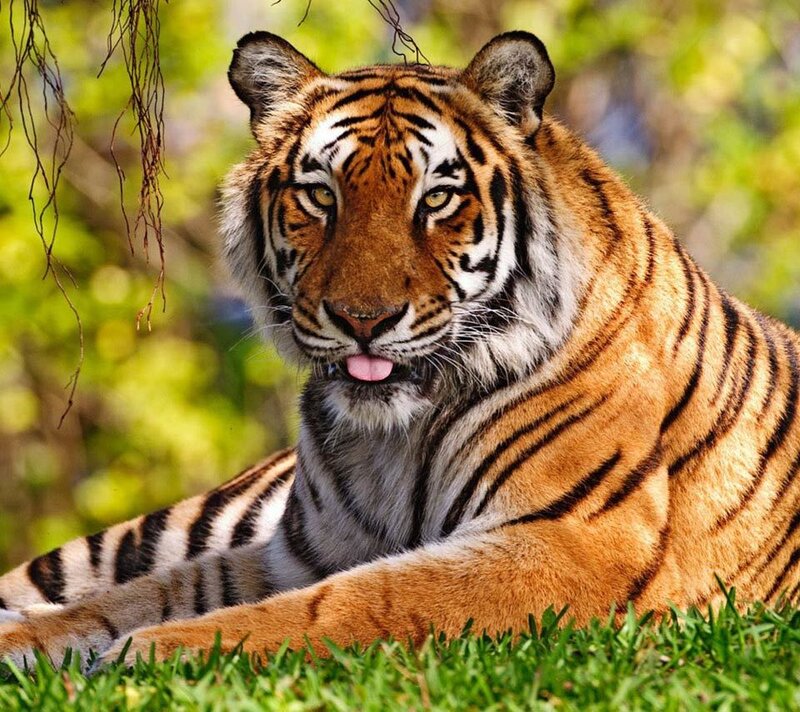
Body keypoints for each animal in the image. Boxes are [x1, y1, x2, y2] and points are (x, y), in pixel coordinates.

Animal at [1, 29, 799, 671]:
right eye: (320, 195)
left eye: (436, 198)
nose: (364, 319)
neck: (394, 435)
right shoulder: (300, 549)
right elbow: (142, 595)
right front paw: (38, 640)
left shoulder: (573, 539)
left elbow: (359, 599)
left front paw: (156, 651)